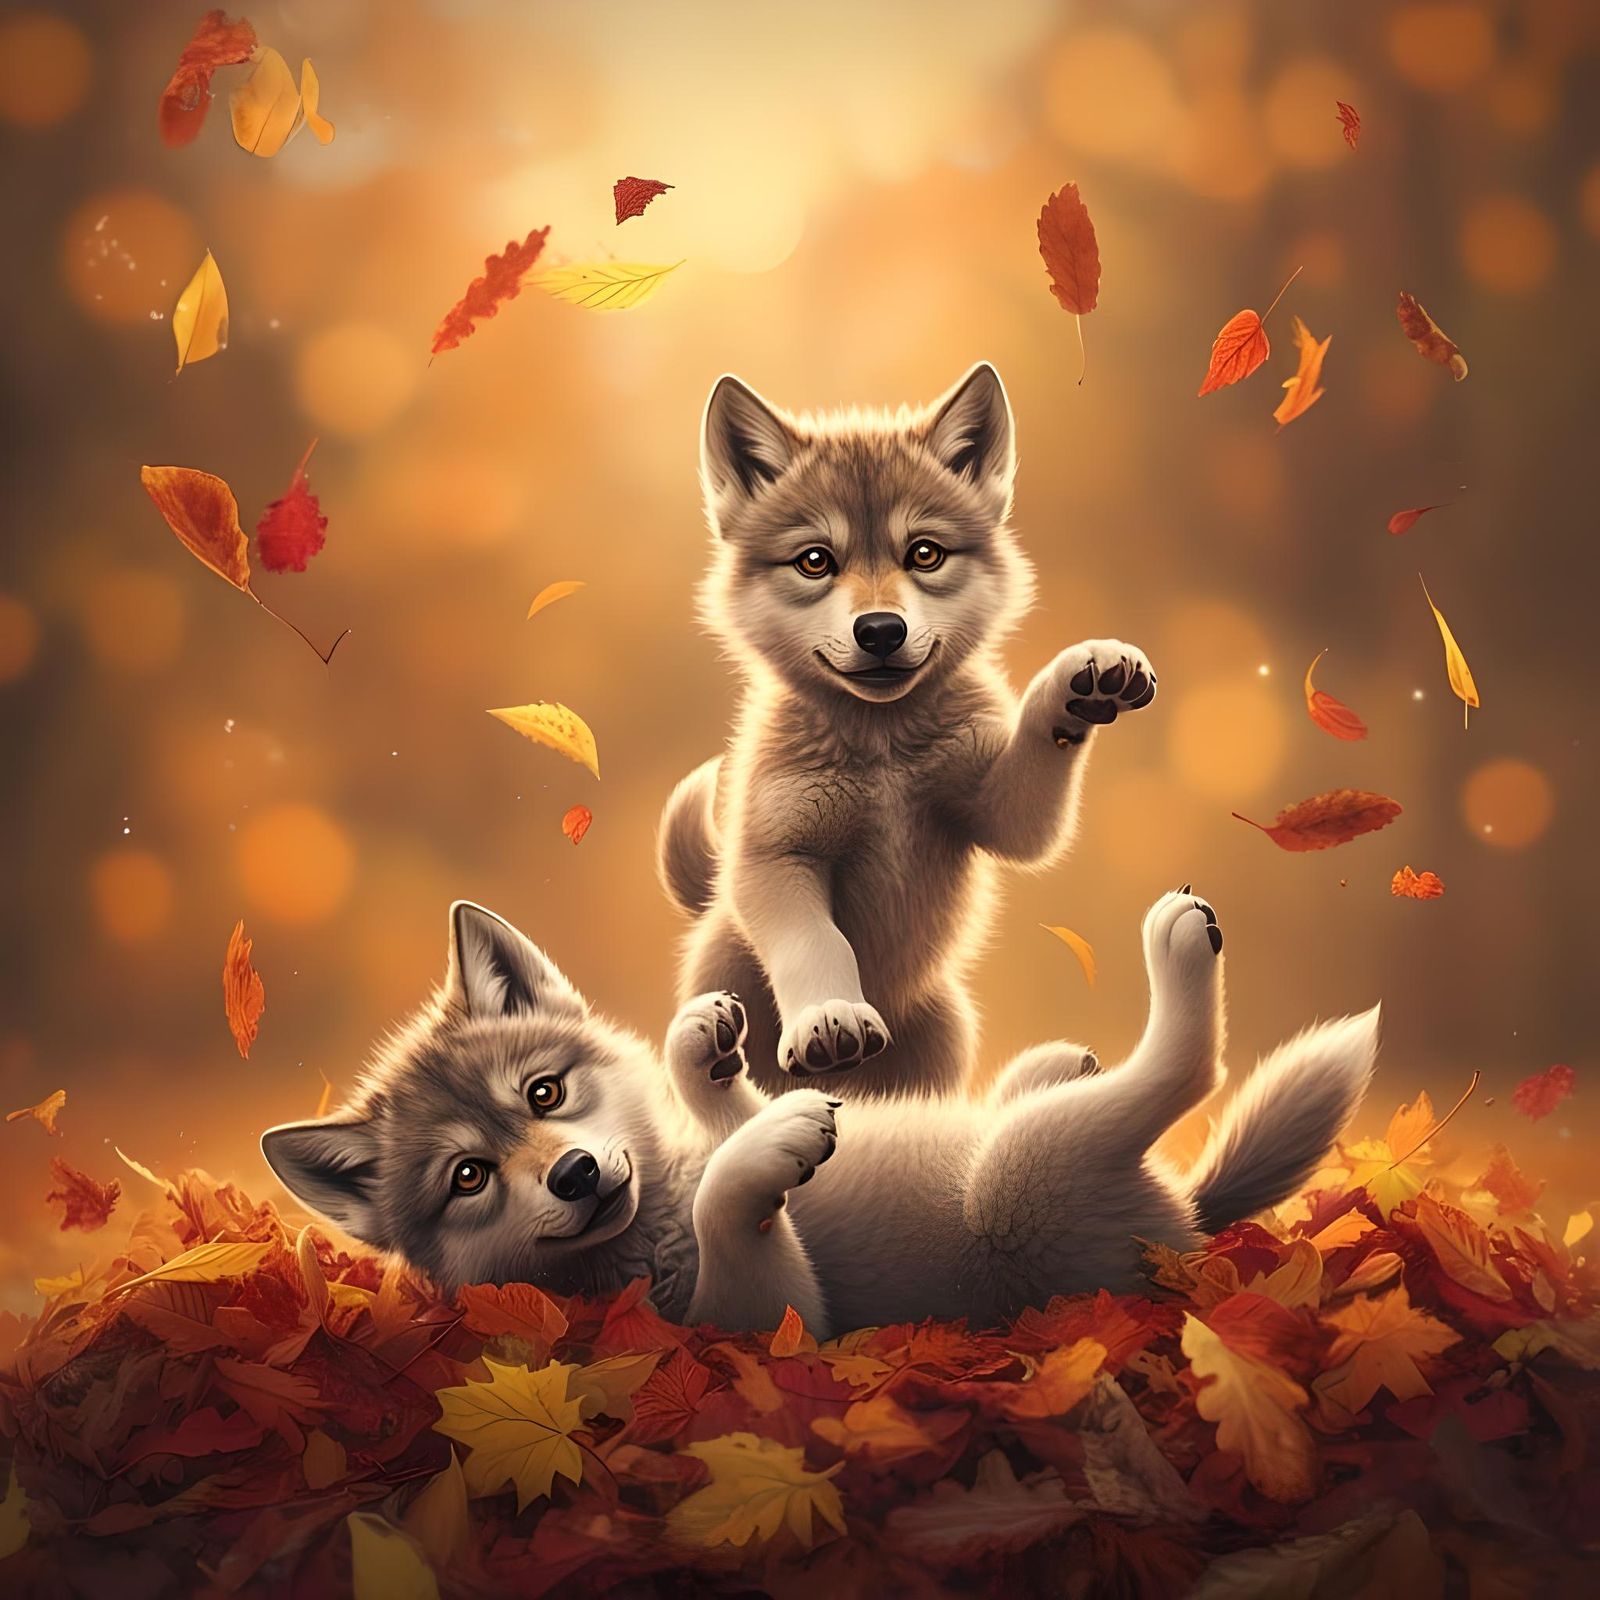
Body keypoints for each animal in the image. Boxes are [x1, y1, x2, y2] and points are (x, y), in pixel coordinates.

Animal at [262, 893, 1379, 1337]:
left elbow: (728, 1100)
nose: (576, 1175)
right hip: (1021, 1185)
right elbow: (740, 1193)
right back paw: (1175, 948)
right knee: (1181, 1071)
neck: (650, 1221)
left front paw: (708, 1045)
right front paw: (770, 1145)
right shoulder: (763, 1319)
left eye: (544, 1093)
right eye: (468, 1178)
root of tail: (1185, 1223)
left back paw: (1054, 1058)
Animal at [658, 361, 1157, 1095]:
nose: (880, 631)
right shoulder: (777, 856)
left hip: (947, 1035)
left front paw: (1083, 680)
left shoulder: (999, 812)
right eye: (815, 560)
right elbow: (815, 941)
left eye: (924, 554)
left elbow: (1033, 792)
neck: (882, 749)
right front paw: (831, 1016)